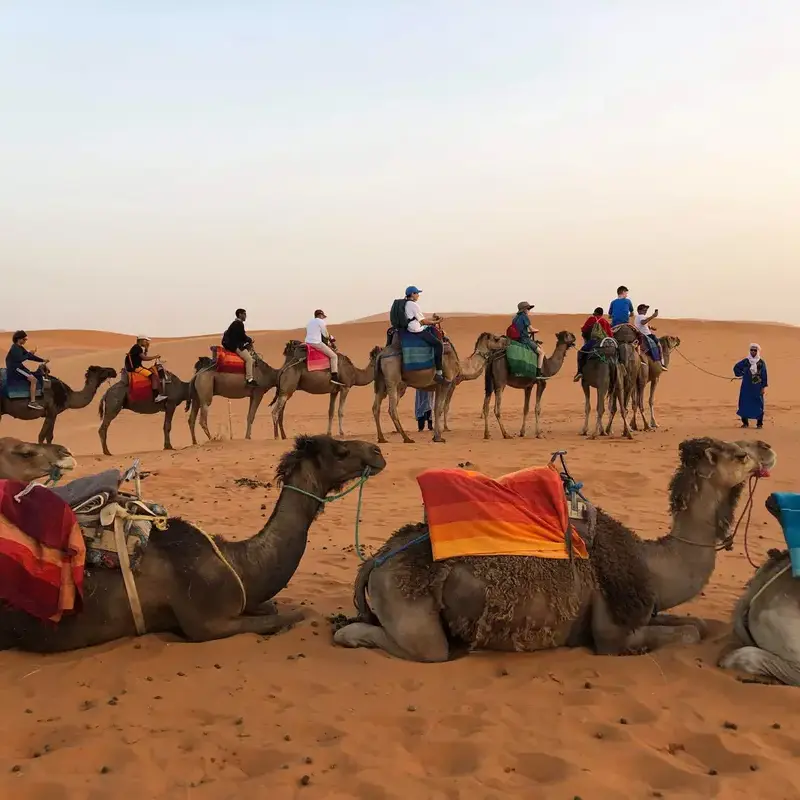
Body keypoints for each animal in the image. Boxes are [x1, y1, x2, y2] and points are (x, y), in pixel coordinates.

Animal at [0, 435, 386, 652]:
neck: (240, 562)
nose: (378, 451)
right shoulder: (208, 624)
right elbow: (296, 615)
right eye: (340, 450)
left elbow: (271, 607)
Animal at [333, 437, 775, 661]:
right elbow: (686, 633)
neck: (653, 566)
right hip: (409, 606)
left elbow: (696, 624)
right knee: (425, 648)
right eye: (740, 454)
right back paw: (353, 636)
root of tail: (378, 558)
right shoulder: (612, 635)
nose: (767, 447)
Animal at [373, 332, 507, 444]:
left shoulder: (437, 386)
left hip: (382, 383)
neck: (461, 367)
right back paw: (406, 438)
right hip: (394, 380)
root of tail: (381, 354)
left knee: (376, 407)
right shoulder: (447, 383)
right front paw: (439, 435)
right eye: (496, 338)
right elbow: (441, 408)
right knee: (392, 409)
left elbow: (437, 408)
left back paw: (382, 438)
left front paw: (436, 434)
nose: (506, 340)